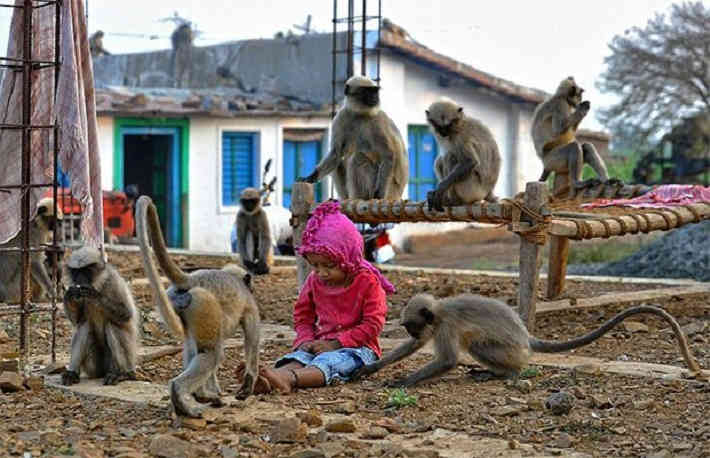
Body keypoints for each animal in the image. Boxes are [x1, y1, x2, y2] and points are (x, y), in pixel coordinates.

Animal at [62, 247, 140, 386]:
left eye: (86, 271)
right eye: (76, 272)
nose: (79, 279)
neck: (98, 283)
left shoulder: (113, 282)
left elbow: (127, 314)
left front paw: (95, 295)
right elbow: (77, 320)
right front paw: (69, 295)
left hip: (127, 359)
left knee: (112, 326)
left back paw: (123, 374)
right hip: (93, 367)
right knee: (84, 326)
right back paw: (72, 373)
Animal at [136, 195, 262, 416]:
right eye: (251, 288)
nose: (252, 288)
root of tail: (191, 279)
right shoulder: (249, 304)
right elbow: (252, 339)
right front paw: (247, 386)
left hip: (181, 303)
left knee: (194, 347)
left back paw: (197, 396)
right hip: (204, 304)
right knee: (211, 352)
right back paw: (187, 394)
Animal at [356, 294, 708, 386]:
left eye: (411, 326)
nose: (411, 332)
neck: (439, 311)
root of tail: (526, 335)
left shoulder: (446, 326)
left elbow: (448, 360)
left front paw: (403, 382)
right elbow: (412, 350)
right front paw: (370, 369)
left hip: (510, 350)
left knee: (479, 345)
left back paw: (507, 374)